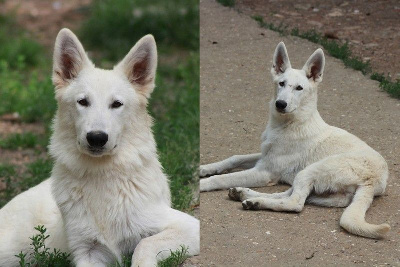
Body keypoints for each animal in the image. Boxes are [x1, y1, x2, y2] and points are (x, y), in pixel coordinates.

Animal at [200, 42, 390, 241]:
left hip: (310, 170)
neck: (288, 124)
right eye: (281, 83)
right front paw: (204, 168)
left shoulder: (265, 172)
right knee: (288, 194)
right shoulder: (264, 157)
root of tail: (374, 182)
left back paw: (256, 201)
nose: (280, 104)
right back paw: (246, 195)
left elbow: (221, 178)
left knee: (295, 203)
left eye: (299, 88)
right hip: (315, 185)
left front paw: (202, 184)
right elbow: (234, 158)